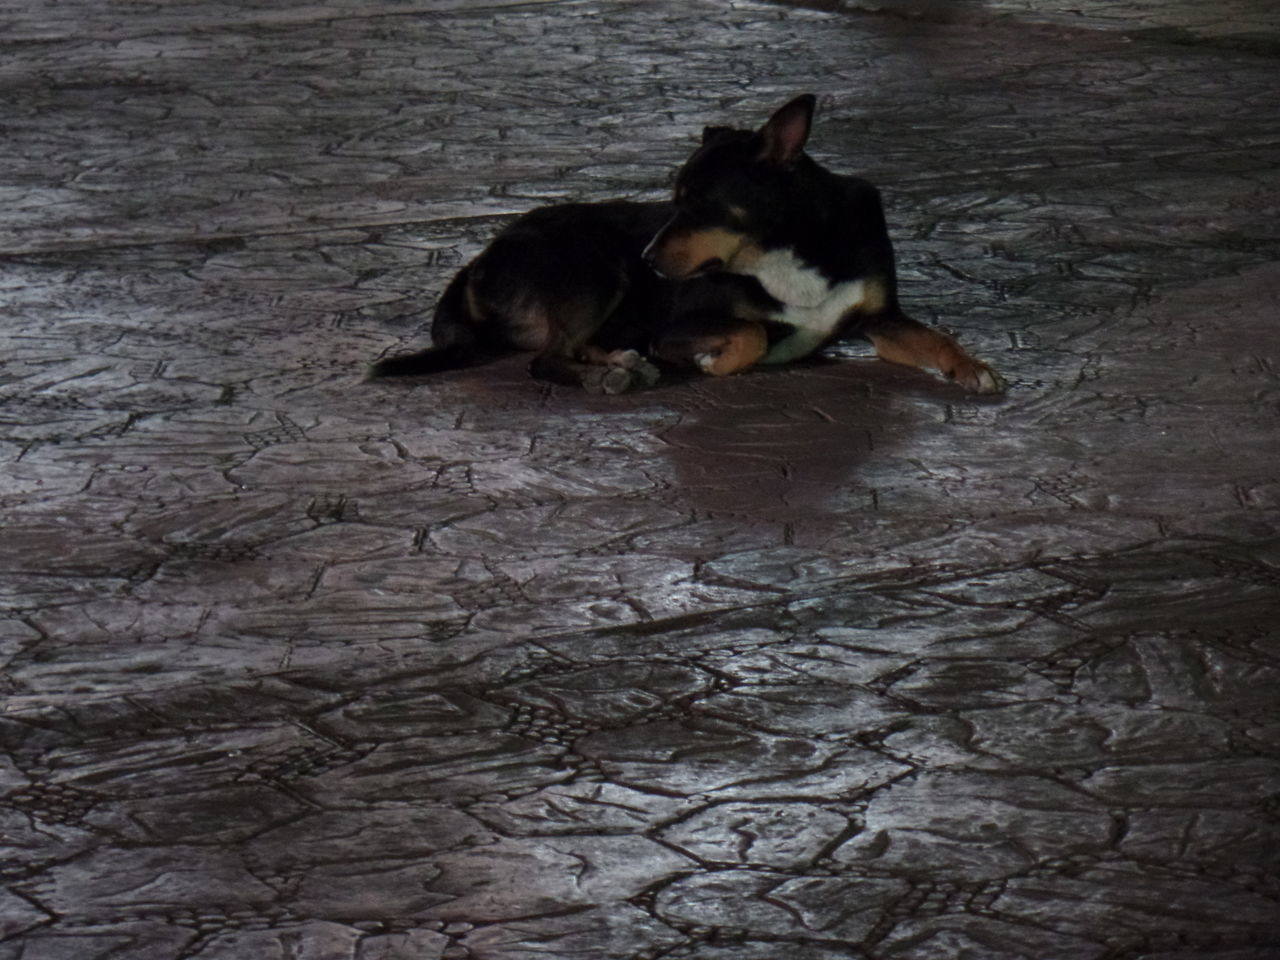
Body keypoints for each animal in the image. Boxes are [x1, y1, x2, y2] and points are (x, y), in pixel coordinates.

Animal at [366, 96, 1003, 396]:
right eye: (673, 199)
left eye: (697, 203)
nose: (649, 261)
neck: (787, 249)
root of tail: (476, 261)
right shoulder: (679, 325)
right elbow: (748, 335)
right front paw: (714, 361)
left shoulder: (879, 319)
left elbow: (934, 337)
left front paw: (973, 367)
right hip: (595, 270)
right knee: (546, 358)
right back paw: (609, 375)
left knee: (575, 346)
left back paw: (621, 364)